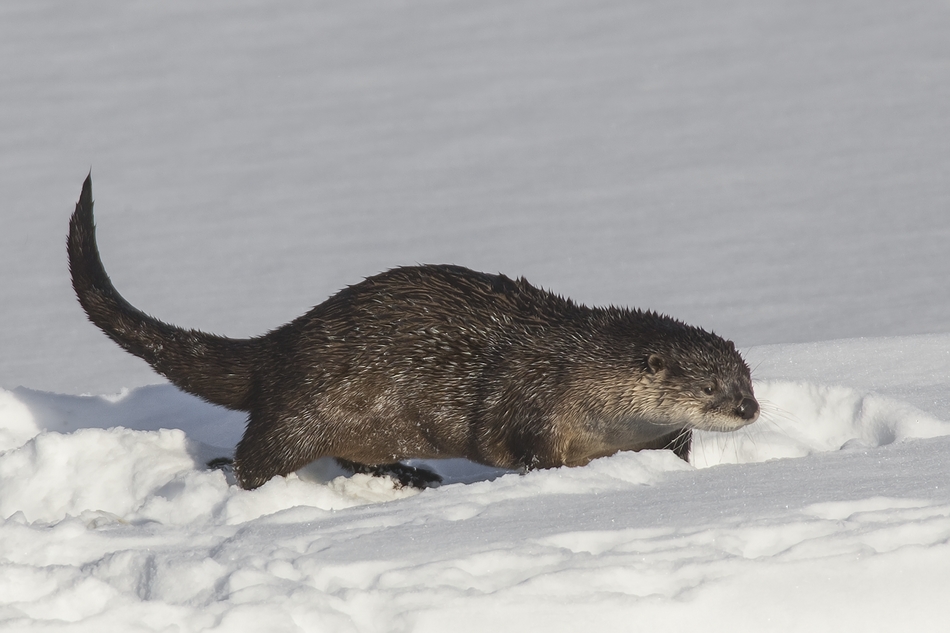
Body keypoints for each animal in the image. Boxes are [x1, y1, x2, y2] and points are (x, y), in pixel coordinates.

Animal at [67, 175, 760, 492]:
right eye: (709, 387)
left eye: (745, 379)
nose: (748, 410)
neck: (580, 373)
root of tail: (283, 343)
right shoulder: (533, 401)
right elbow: (528, 450)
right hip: (305, 405)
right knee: (256, 457)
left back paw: (407, 475)